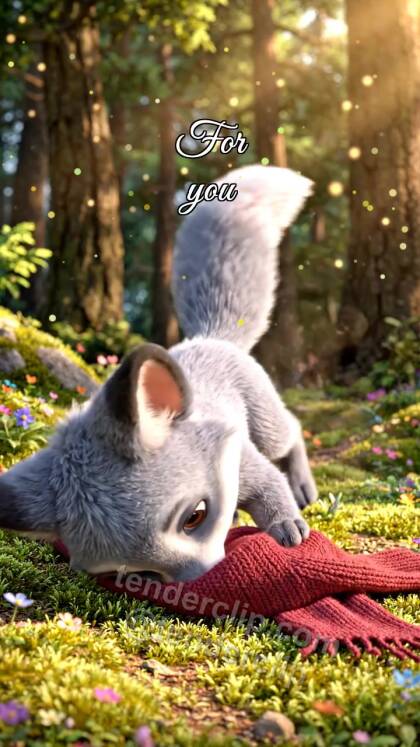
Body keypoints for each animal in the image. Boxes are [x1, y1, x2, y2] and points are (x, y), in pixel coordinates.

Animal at [0, 164, 317, 582]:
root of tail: (208, 336)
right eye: (141, 572)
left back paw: (303, 486)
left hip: (267, 425)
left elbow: (270, 487)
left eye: (194, 517)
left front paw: (286, 525)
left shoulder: (243, 457)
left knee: (292, 431)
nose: (202, 579)